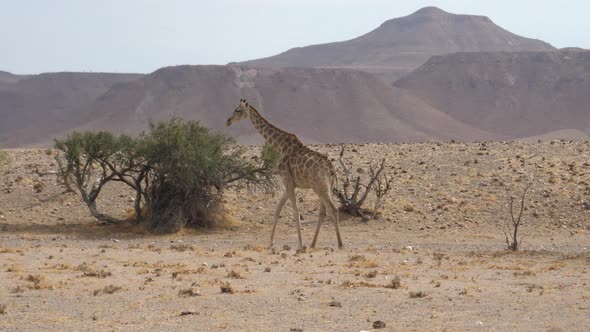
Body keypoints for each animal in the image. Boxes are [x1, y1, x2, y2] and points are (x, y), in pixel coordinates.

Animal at [228, 98, 346, 249]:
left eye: (237, 110)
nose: (228, 121)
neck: (280, 145)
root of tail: (331, 169)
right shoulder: (289, 184)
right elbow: (277, 210)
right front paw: (270, 244)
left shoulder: (288, 182)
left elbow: (295, 211)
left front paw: (300, 246)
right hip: (325, 188)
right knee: (323, 212)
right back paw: (313, 244)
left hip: (320, 187)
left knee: (333, 209)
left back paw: (340, 244)